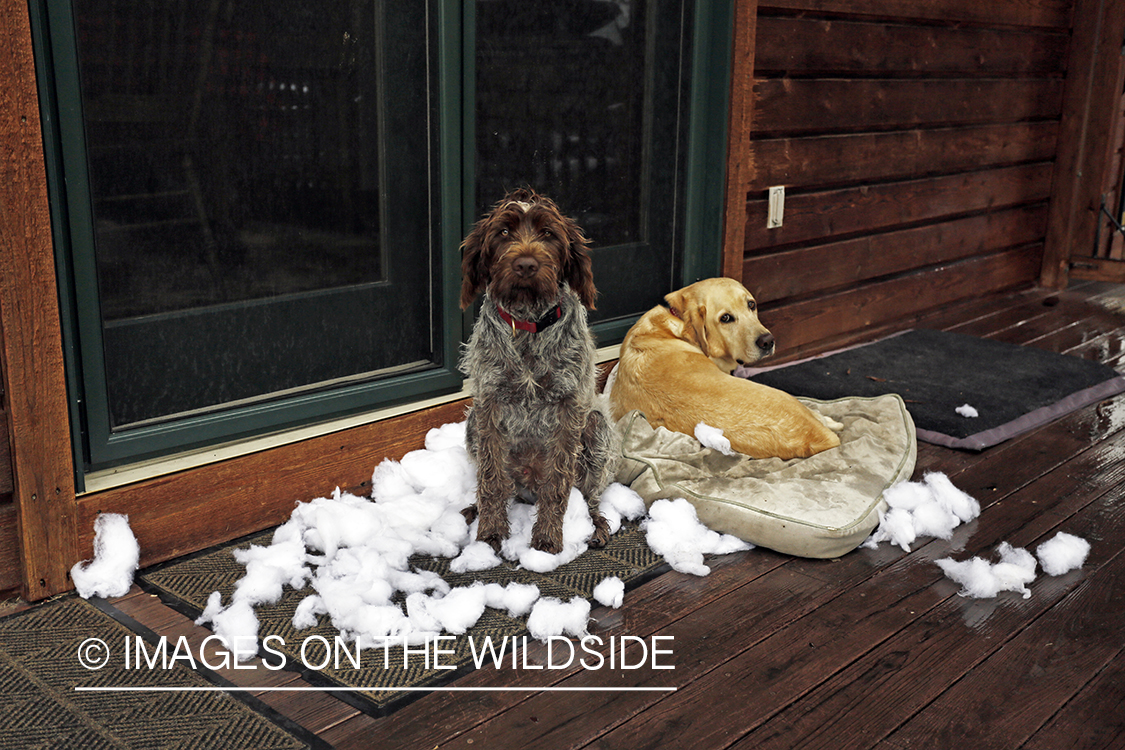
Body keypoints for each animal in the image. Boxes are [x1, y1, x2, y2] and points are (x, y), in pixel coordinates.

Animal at [456, 191, 616, 555]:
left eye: (548, 234)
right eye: (503, 232)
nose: (526, 265)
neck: (528, 325)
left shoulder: (570, 406)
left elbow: (558, 483)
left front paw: (547, 539)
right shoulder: (489, 404)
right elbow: (490, 478)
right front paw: (489, 532)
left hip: (595, 428)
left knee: (590, 496)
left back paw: (597, 524)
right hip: (472, 424)